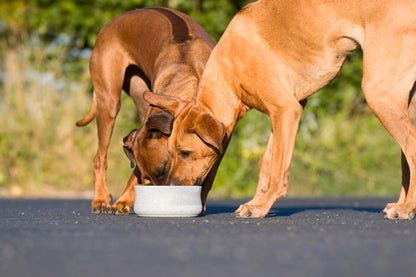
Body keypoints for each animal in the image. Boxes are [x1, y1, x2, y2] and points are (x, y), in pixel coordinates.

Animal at [75, 7, 216, 213]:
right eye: (147, 177)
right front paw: (123, 201)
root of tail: (108, 25)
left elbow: (210, 171)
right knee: (99, 158)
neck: (186, 67)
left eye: (164, 170)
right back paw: (100, 198)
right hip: (108, 102)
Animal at [143, 0, 416, 219]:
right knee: (406, 158)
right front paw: (256, 201)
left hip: (379, 93)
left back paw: (406, 208)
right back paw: (401, 204)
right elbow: (267, 164)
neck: (230, 68)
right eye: (171, 152)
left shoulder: (286, 110)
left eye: (186, 153)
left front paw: (261, 207)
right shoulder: (283, 114)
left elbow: (276, 170)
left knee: (411, 150)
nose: (171, 187)